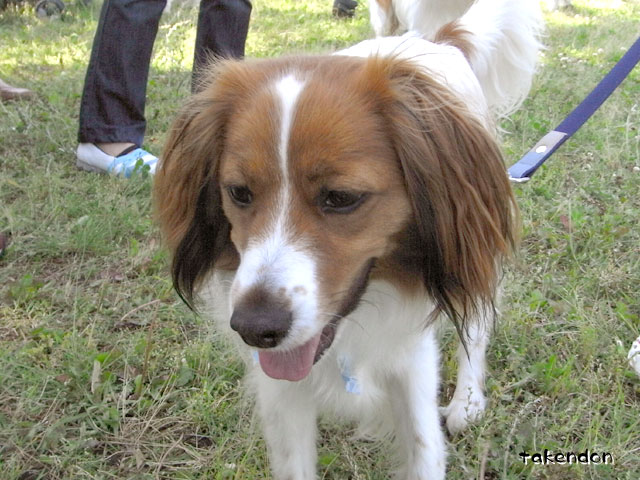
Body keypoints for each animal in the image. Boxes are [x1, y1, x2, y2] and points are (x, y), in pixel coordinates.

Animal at [154, 0, 542, 477]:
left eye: (340, 198)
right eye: (239, 193)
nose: (254, 329)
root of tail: (436, 42)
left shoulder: (411, 357)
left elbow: (423, 447)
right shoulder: (281, 390)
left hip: (468, 250)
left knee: (476, 322)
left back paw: (466, 400)